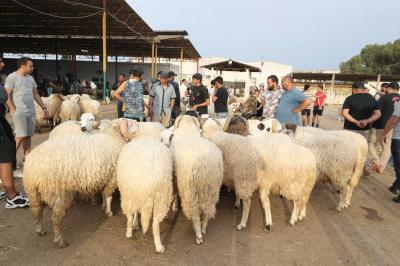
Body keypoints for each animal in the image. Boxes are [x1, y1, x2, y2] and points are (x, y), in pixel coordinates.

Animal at [23, 118, 138, 247]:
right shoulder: (112, 178)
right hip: (59, 193)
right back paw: (60, 240)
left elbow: (103, 194)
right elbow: (109, 196)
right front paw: (109, 212)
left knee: (36, 210)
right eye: (129, 124)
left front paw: (103, 206)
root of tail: (33, 167)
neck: (112, 137)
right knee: (56, 218)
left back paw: (40, 230)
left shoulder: (103, 176)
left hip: (33, 192)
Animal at [170, 115, 223, 244]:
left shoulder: (175, 176)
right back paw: (203, 228)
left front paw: (175, 206)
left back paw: (198, 234)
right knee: (207, 211)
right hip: (212, 191)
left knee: (195, 214)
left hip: (190, 191)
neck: (187, 127)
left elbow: (175, 192)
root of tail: (205, 165)